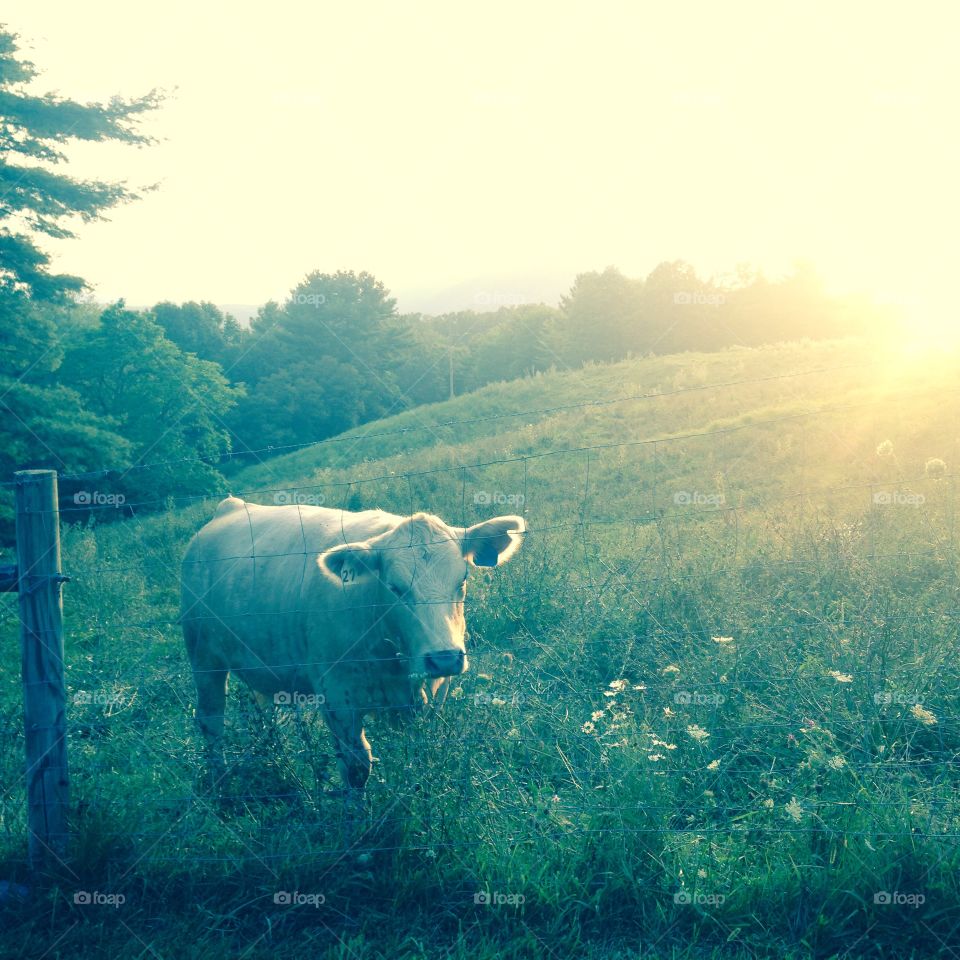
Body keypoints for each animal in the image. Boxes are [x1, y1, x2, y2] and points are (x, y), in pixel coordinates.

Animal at [180, 502, 524, 788]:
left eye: (462, 580)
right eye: (395, 587)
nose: (444, 658)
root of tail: (231, 506)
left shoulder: (431, 693)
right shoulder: (337, 698)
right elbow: (356, 767)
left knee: (264, 711)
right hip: (203, 658)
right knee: (211, 720)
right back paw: (220, 780)